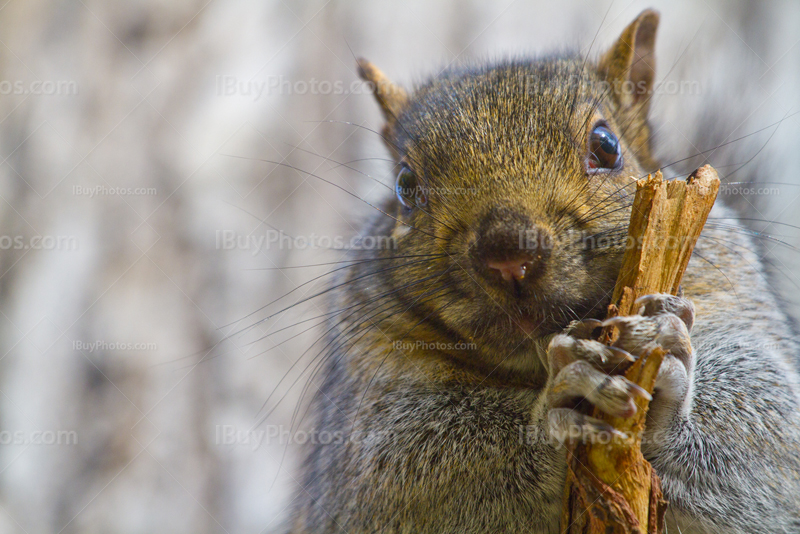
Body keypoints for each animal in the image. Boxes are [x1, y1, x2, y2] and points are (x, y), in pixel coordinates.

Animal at [288, 9, 800, 534]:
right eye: (405, 185)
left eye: (606, 145)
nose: (508, 255)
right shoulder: (365, 399)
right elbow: (394, 467)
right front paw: (555, 412)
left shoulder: (731, 291)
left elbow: (774, 436)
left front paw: (663, 363)